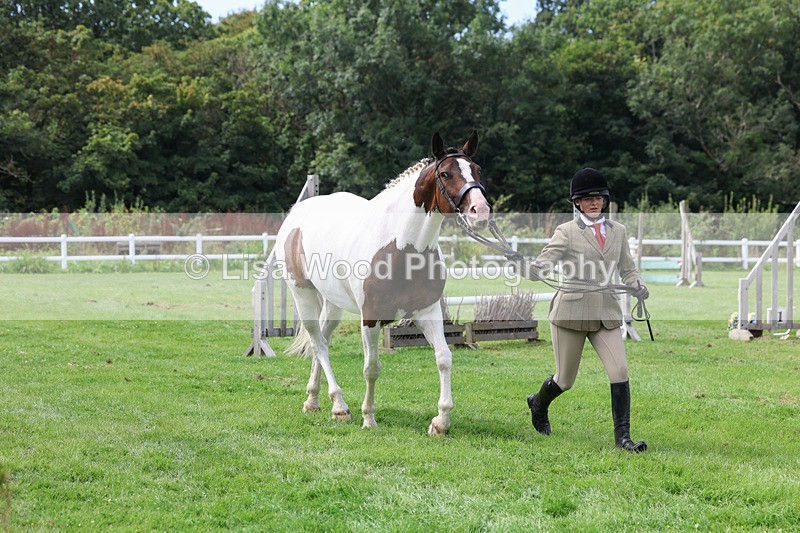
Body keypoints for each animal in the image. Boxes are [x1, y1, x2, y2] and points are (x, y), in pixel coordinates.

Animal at [273, 130, 491, 436]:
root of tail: (297, 213)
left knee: (323, 340)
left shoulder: (428, 312)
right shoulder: (370, 318)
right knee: (318, 344)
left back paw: (314, 400)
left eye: (477, 170)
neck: (402, 246)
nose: (480, 212)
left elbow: (444, 358)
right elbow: (372, 368)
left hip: (333, 304)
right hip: (302, 295)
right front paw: (368, 417)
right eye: (446, 174)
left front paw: (441, 421)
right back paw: (340, 406)